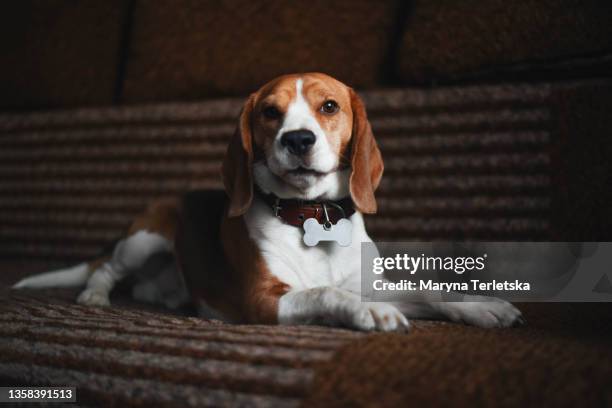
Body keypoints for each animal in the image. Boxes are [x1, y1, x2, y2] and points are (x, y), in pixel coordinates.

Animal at [11, 71, 524, 330]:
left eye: (329, 106)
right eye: (269, 112)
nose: (297, 139)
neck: (314, 217)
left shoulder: (371, 282)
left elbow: (429, 292)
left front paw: (482, 307)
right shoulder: (264, 301)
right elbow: (326, 292)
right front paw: (373, 313)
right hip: (146, 237)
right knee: (106, 269)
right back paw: (95, 295)